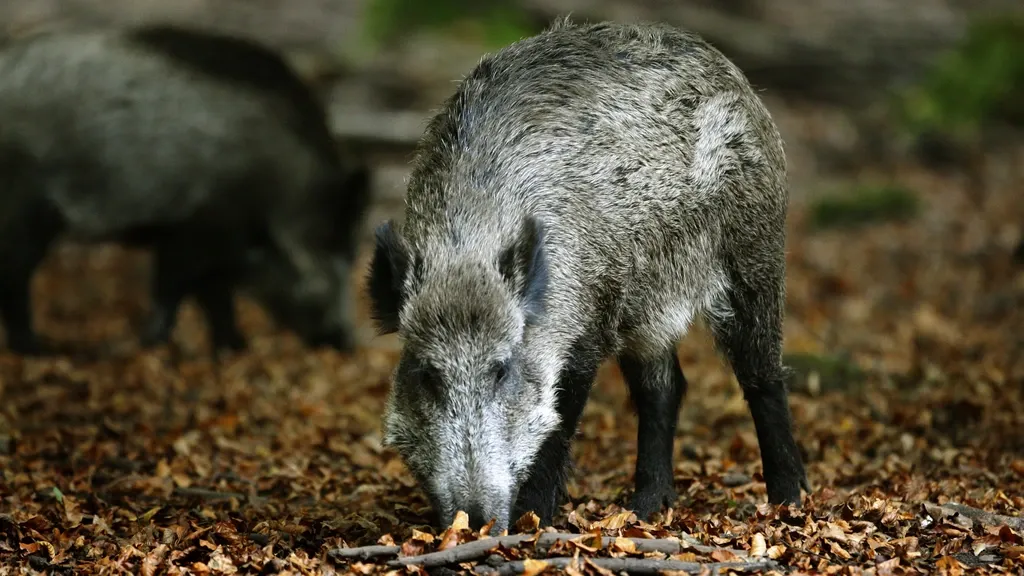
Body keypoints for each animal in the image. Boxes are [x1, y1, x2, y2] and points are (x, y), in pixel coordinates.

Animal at [0, 23, 372, 355]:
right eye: (336, 246)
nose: (346, 343)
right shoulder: (197, 224)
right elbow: (174, 288)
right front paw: (152, 346)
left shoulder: (219, 243)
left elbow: (215, 297)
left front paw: (234, 349)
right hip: (23, 202)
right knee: (15, 274)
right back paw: (37, 350)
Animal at [367, 17, 809, 533]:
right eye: (426, 374)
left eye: (502, 369)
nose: (473, 519)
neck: (469, 248)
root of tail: (738, 80)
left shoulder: (585, 326)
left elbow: (558, 423)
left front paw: (533, 521)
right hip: (646, 308)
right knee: (664, 387)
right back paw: (644, 509)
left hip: (754, 255)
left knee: (763, 375)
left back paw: (788, 502)